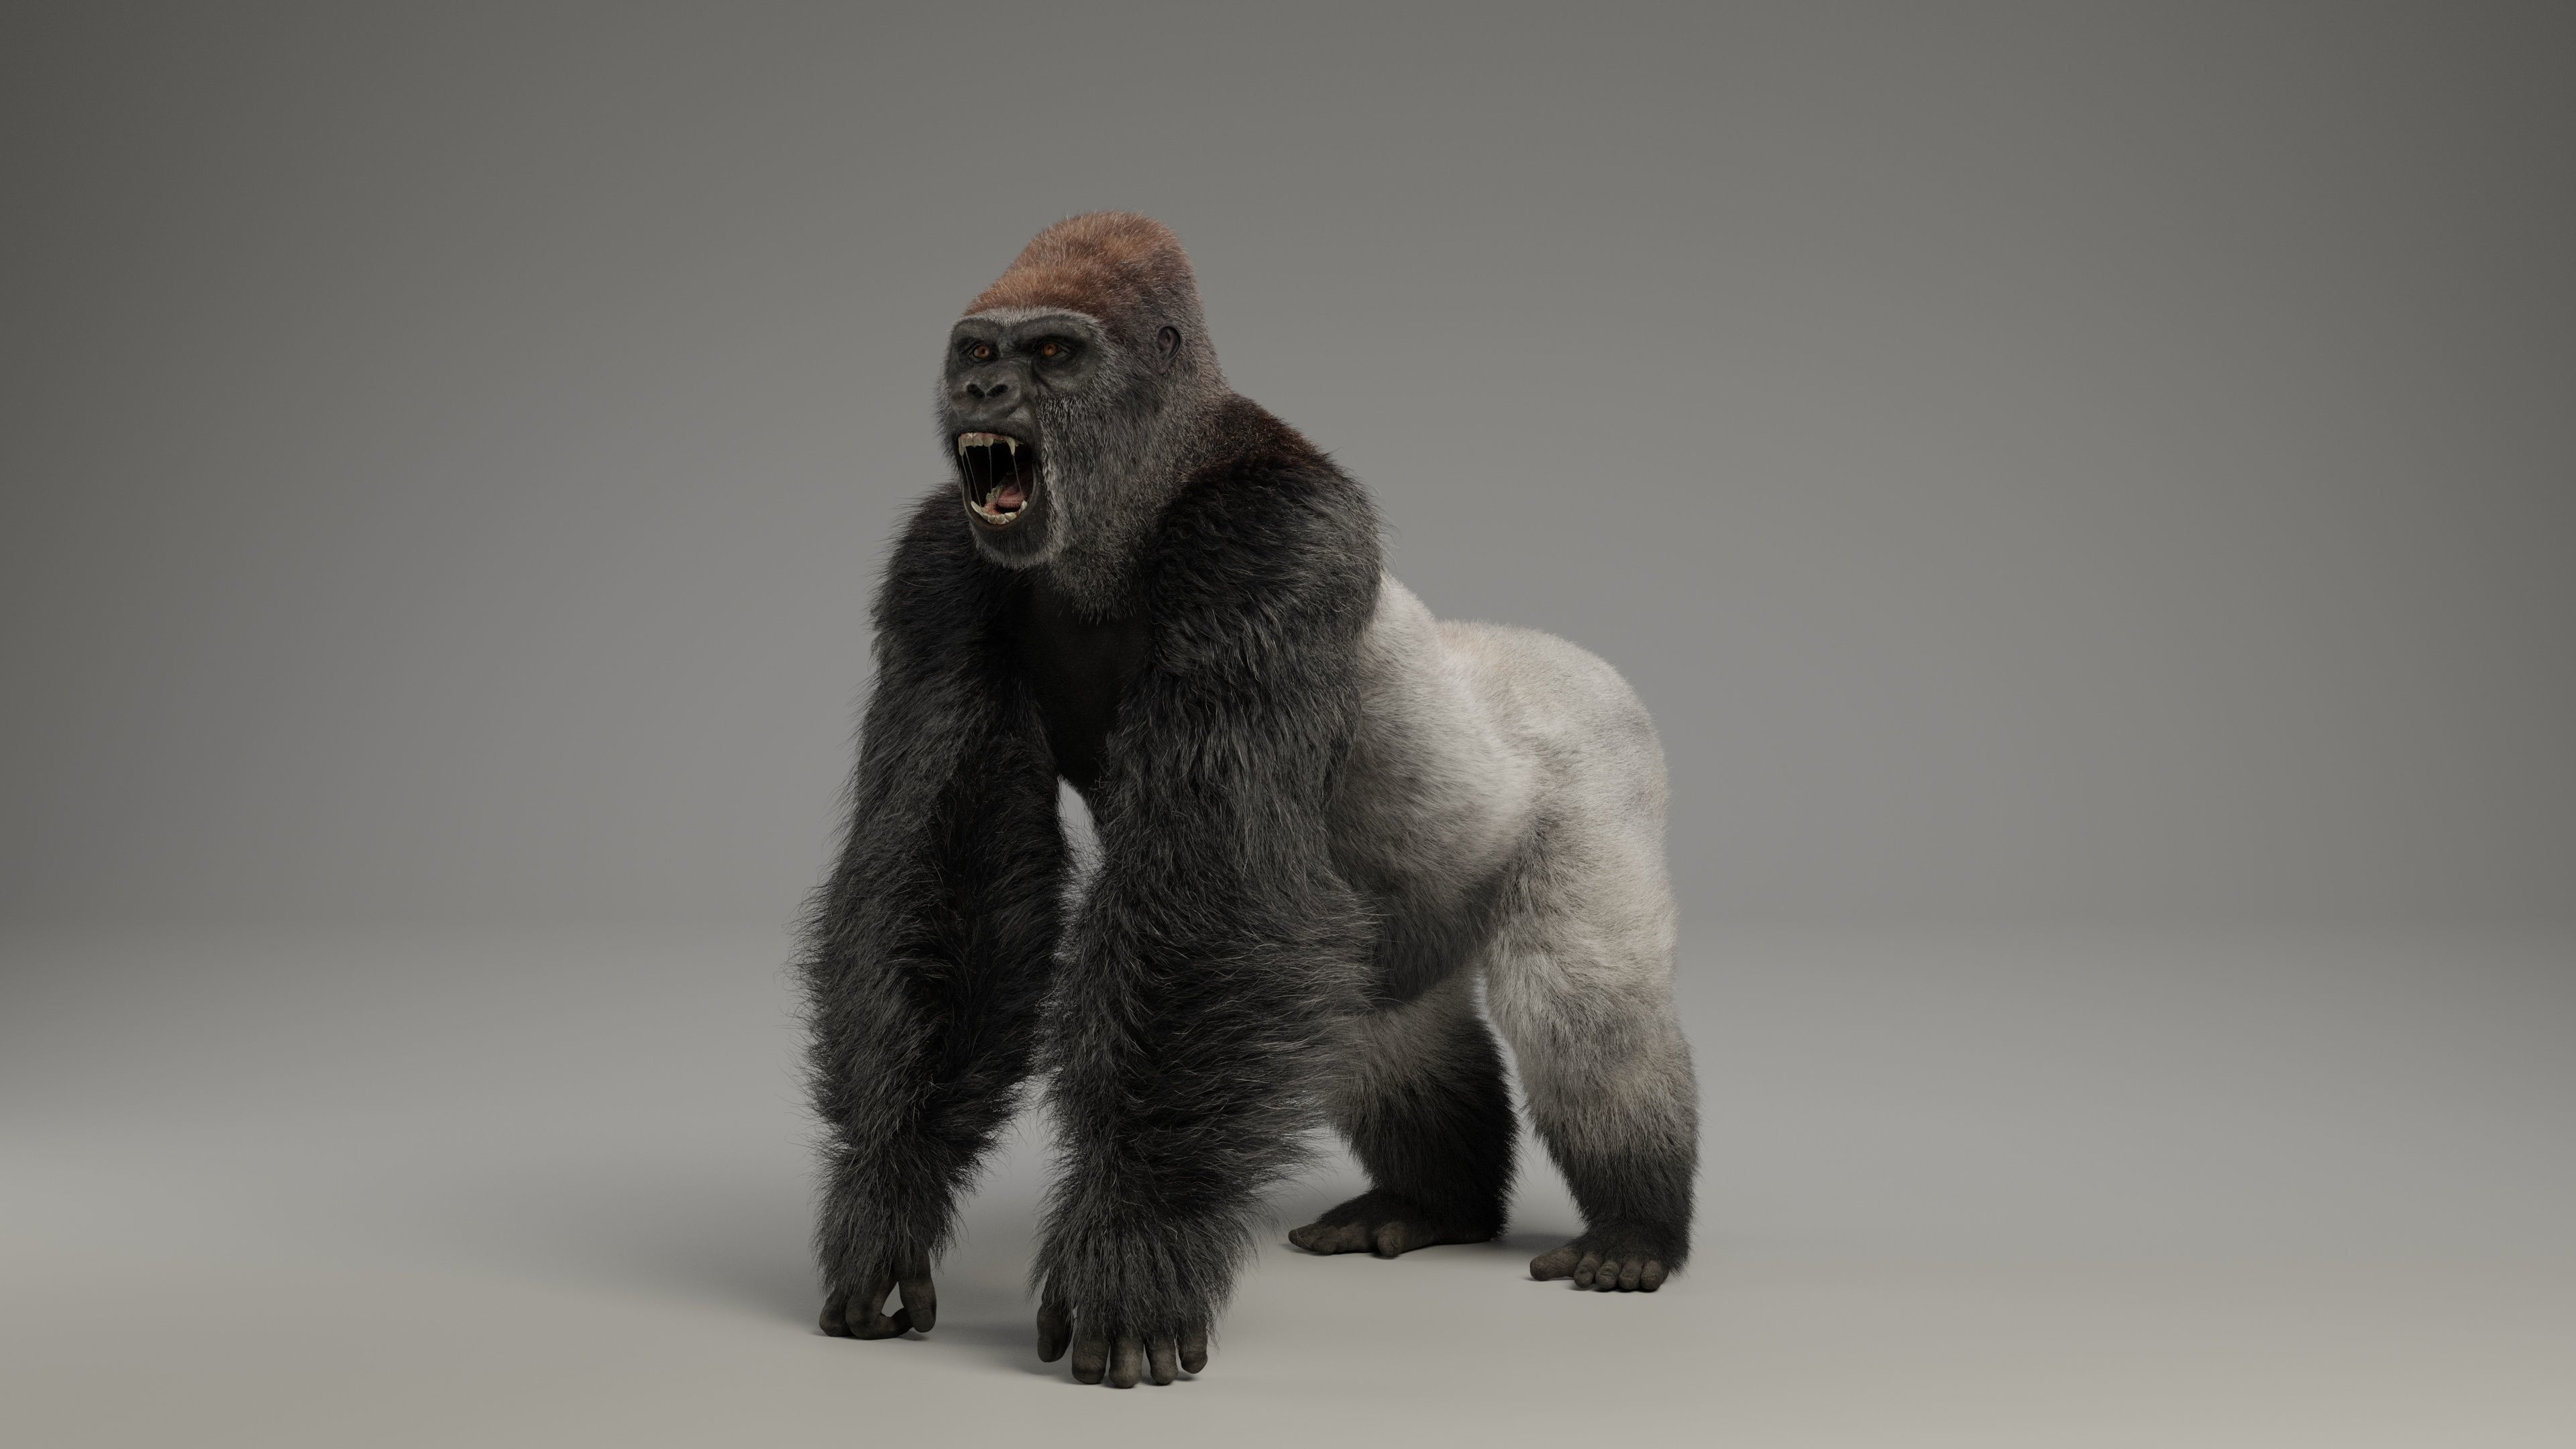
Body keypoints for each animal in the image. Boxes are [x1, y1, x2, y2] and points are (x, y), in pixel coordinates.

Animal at [801, 213, 1698, 1389]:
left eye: (1052, 354)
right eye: (978, 354)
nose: (985, 394)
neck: (1150, 479)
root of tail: (1581, 663)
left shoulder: (1271, 548)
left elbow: (1204, 887)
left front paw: (1132, 1239)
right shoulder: (938, 569)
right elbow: (945, 869)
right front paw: (887, 1189)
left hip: (1602, 763)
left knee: (1583, 1009)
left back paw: (1637, 1228)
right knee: (1382, 1022)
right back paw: (1431, 1202)